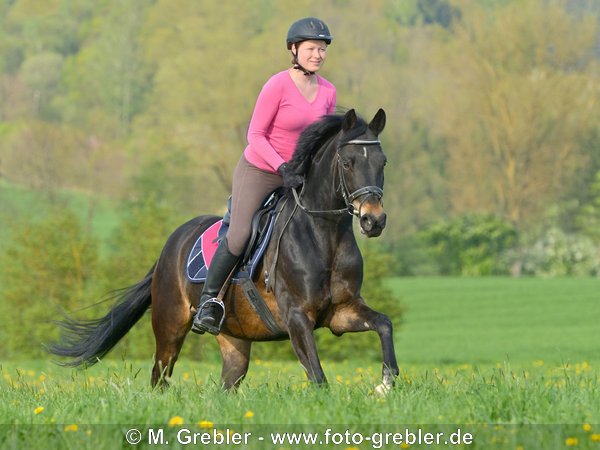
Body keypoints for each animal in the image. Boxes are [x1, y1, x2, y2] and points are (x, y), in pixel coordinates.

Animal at [49, 107, 398, 392]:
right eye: (348, 162)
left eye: (383, 162)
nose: (374, 220)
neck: (324, 235)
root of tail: (170, 244)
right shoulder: (297, 317)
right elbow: (318, 377)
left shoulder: (342, 311)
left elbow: (384, 324)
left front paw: (385, 384)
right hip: (170, 327)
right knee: (159, 377)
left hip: (234, 338)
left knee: (226, 384)